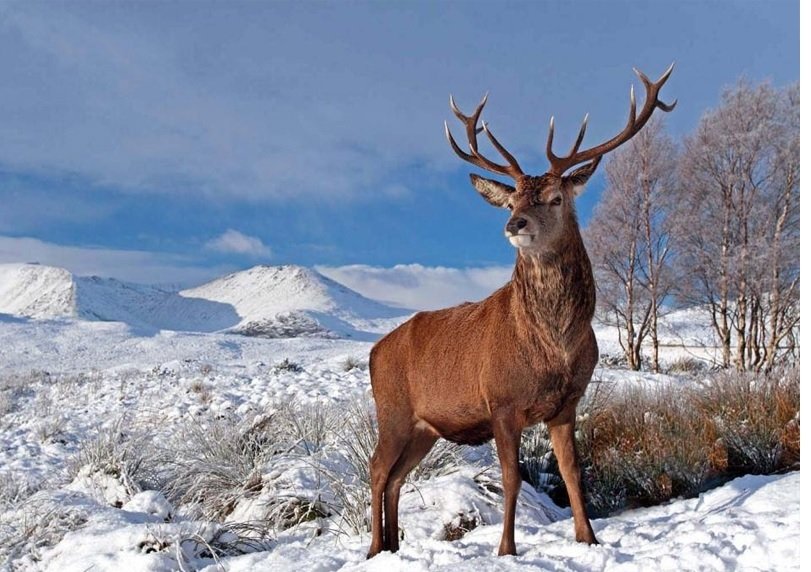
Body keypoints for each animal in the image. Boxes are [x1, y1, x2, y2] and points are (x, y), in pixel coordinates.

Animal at [366, 65, 676, 558]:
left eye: (556, 198)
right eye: (512, 200)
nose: (515, 223)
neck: (554, 347)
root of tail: (374, 353)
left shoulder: (567, 404)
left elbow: (572, 473)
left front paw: (588, 538)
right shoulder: (501, 403)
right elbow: (512, 479)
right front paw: (506, 549)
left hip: (424, 428)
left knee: (396, 476)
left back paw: (394, 547)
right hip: (392, 410)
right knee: (377, 469)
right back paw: (375, 548)